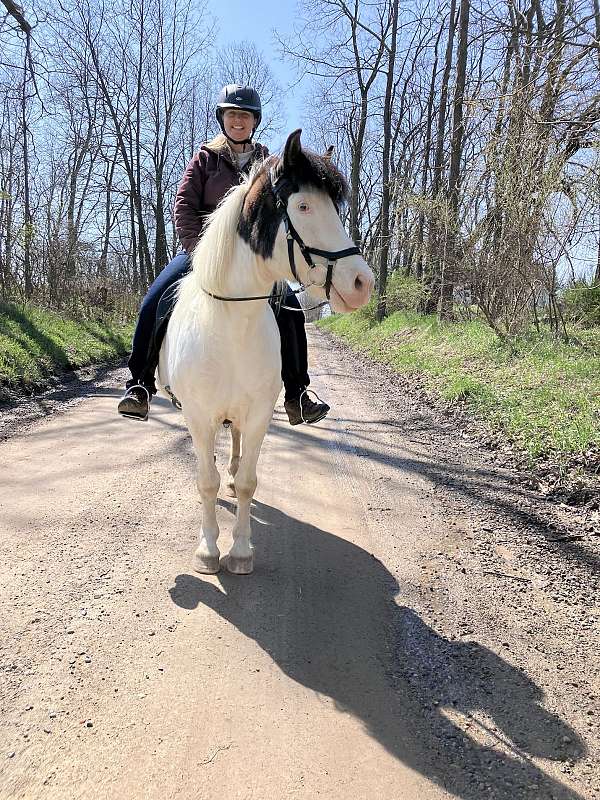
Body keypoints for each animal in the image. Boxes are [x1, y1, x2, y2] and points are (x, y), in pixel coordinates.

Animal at [158, 130, 374, 575]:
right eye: (304, 206)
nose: (363, 283)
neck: (229, 326)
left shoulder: (258, 414)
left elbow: (247, 482)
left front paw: (240, 552)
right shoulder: (198, 416)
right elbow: (205, 481)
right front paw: (208, 551)